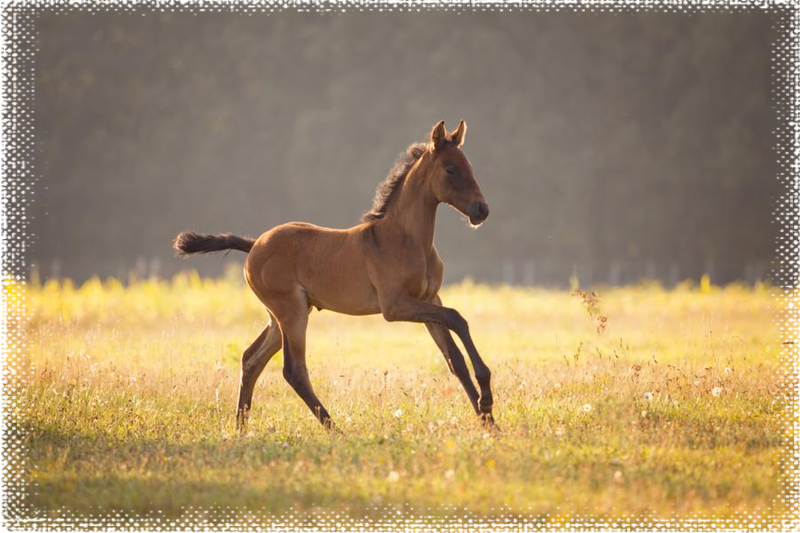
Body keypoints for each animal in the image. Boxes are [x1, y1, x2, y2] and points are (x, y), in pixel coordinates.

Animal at [173, 120, 494, 430]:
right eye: (450, 168)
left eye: (469, 165)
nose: (482, 210)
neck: (406, 239)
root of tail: (254, 245)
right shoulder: (396, 306)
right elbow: (458, 318)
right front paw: (487, 398)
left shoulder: (430, 300)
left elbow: (454, 359)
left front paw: (489, 422)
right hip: (291, 312)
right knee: (293, 370)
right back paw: (333, 428)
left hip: (281, 316)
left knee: (251, 359)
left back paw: (241, 428)